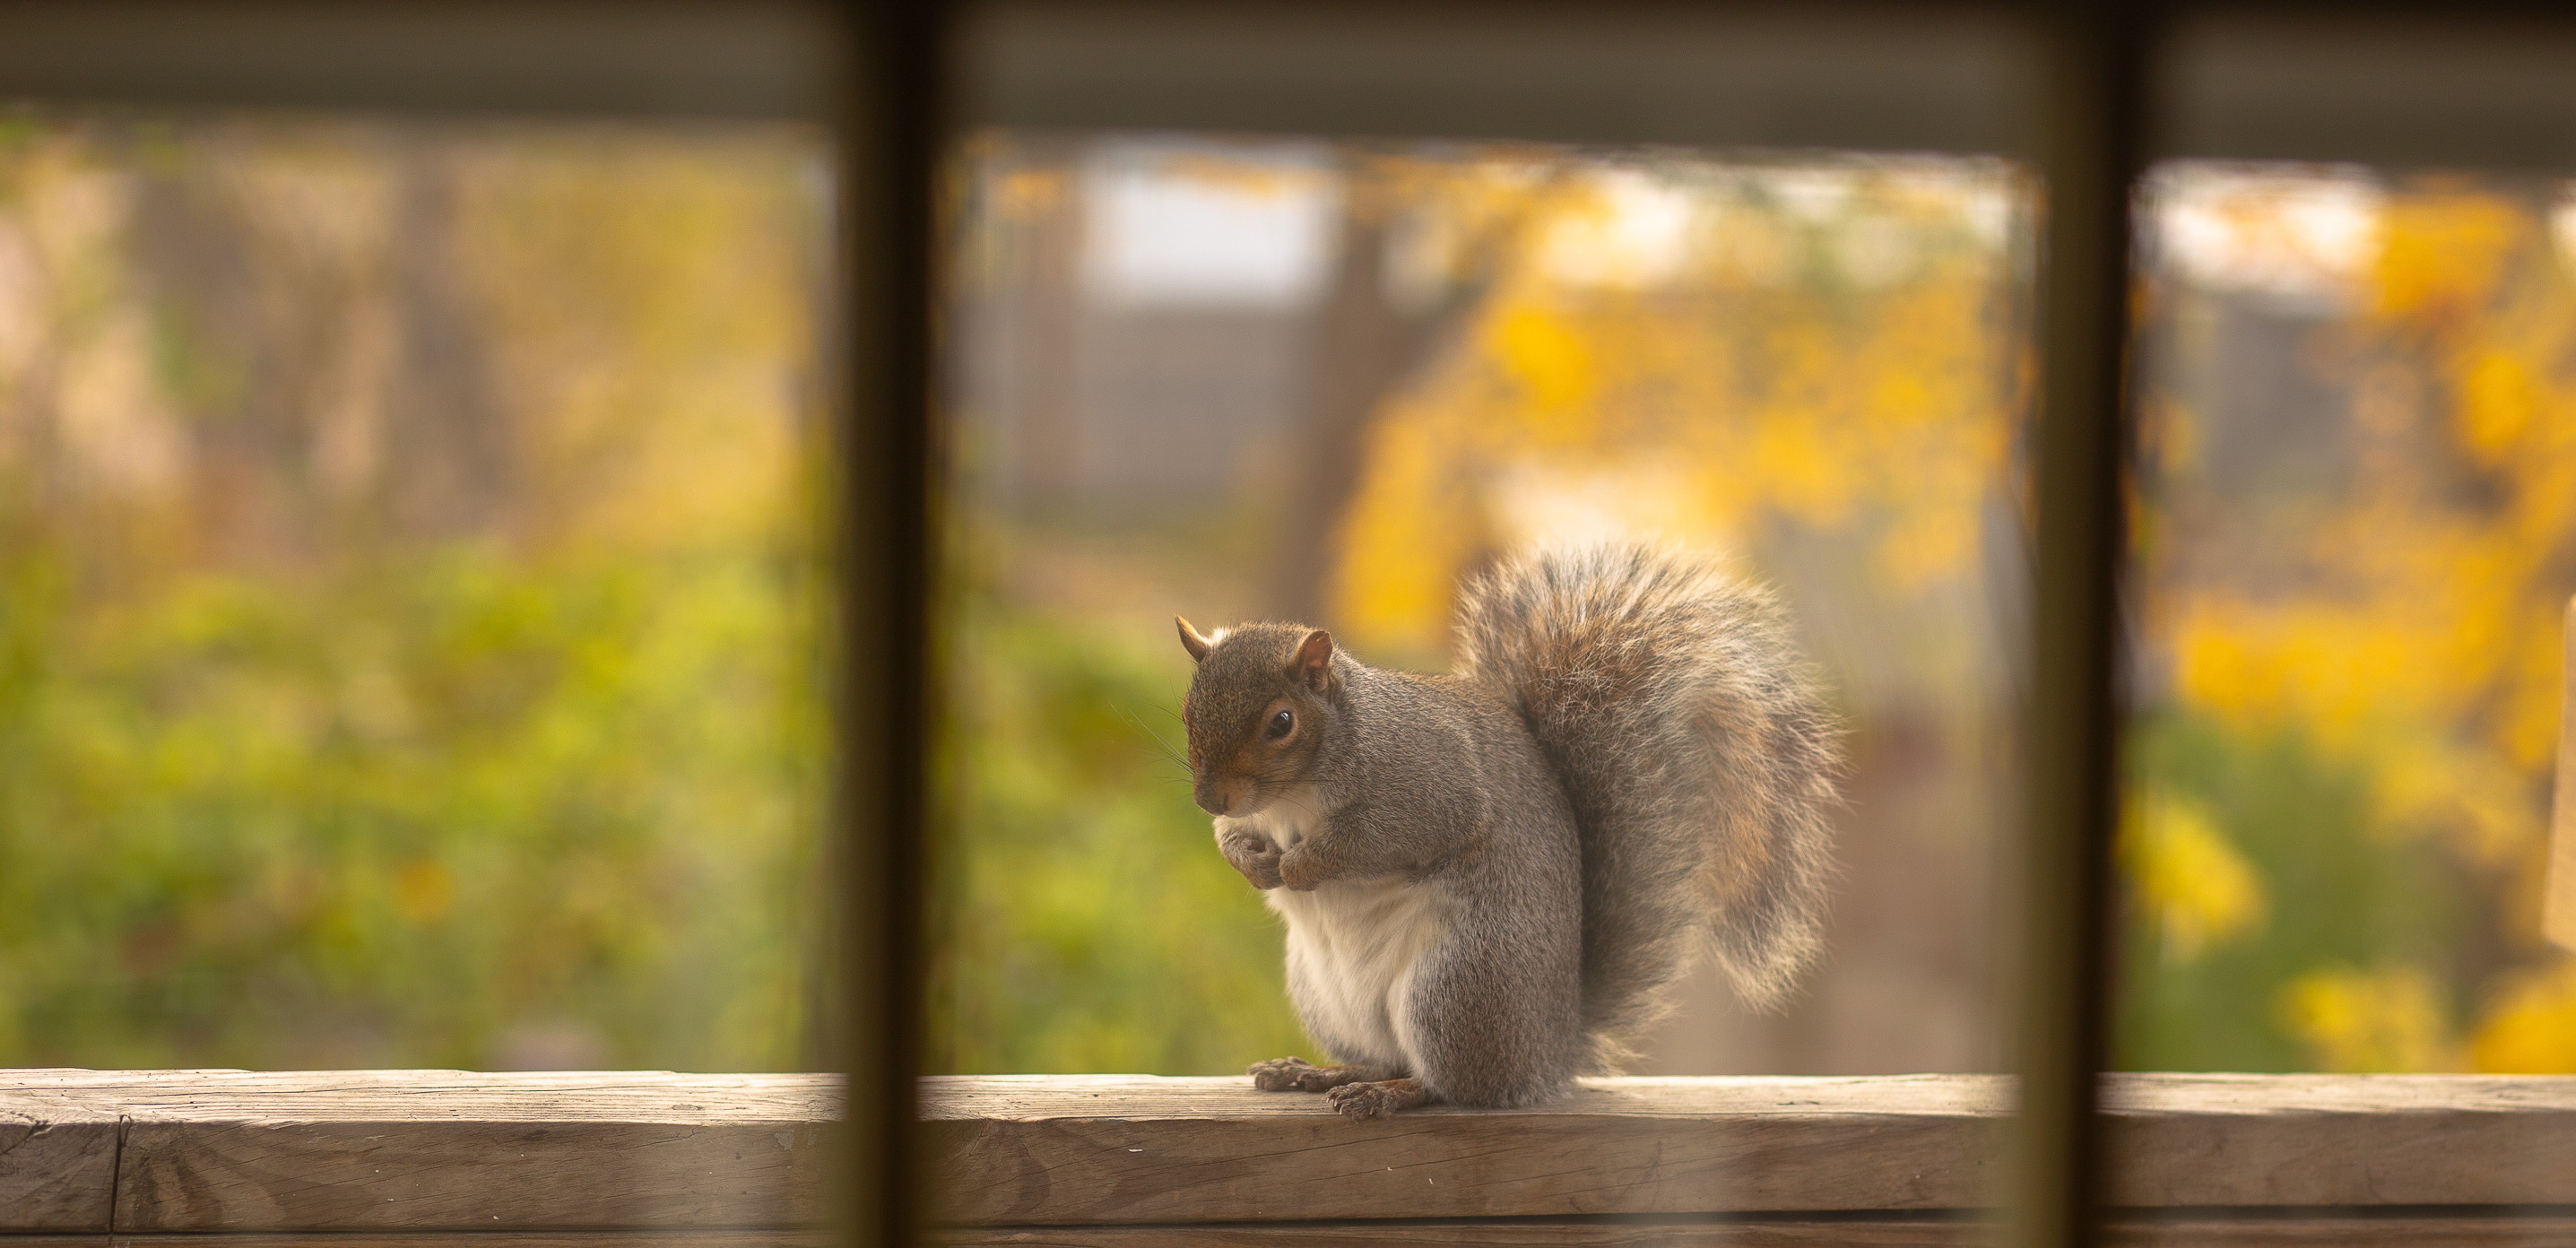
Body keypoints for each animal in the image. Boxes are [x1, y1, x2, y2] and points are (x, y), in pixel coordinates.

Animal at [1174, 543, 1839, 1119]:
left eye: (1281, 722)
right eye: (1187, 711)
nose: (1208, 798)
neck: (1291, 797)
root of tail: (1554, 1050)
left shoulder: (1426, 783)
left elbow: (1383, 837)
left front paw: (1299, 866)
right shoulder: (1250, 816)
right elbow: (1230, 838)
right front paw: (1253, 862)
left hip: (1459, 987)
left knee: (1454, 1086)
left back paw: (1390, 1094)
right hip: (1326, 997)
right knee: (1384, 1057)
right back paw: (1319, 1073)